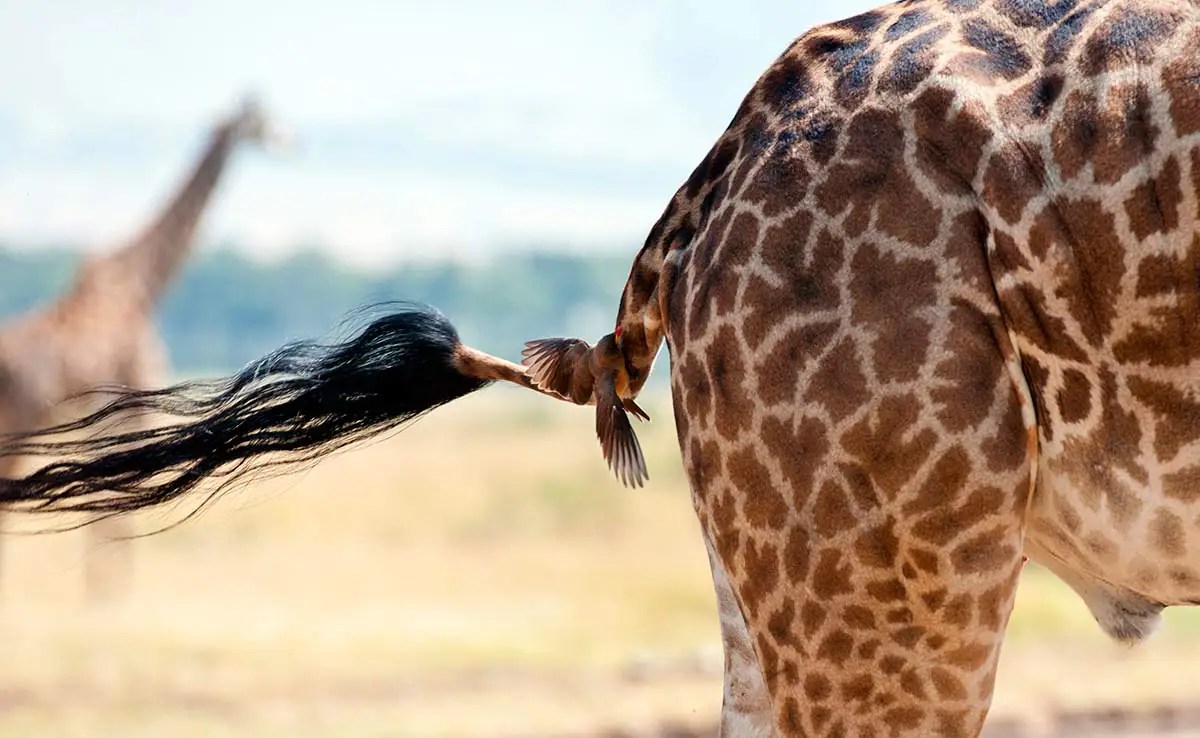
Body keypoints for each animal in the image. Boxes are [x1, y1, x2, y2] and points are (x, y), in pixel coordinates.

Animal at [0, 96, 285, 599]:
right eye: (259, 119)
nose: (289, 140)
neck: (144, 284)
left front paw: (104, 586)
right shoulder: (136, 400)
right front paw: (110, 590)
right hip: (21, 416)